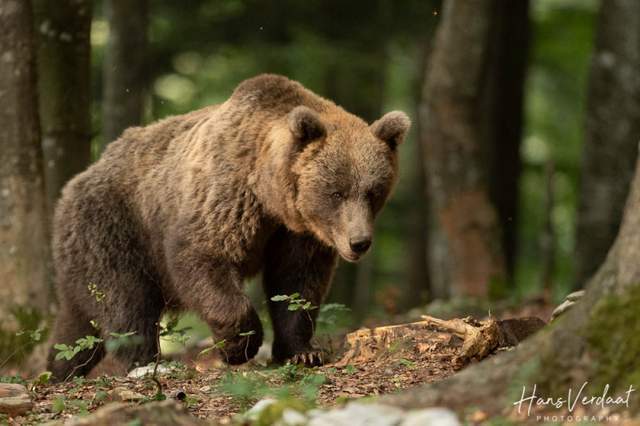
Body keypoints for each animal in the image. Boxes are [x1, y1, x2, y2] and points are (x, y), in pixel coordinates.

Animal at [47, 73, 412, 380]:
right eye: (337, 191)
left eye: (373, 192)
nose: (358, 242)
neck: (271, 197)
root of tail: (70, 187)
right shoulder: (226, 199)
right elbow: (204, 258)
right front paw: (238, 347)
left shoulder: (297, 234)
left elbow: (297, 284)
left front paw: (303, 352)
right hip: (114, 229)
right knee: (127, 303)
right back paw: (146, 364)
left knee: (78, 327)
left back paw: (58, 370)